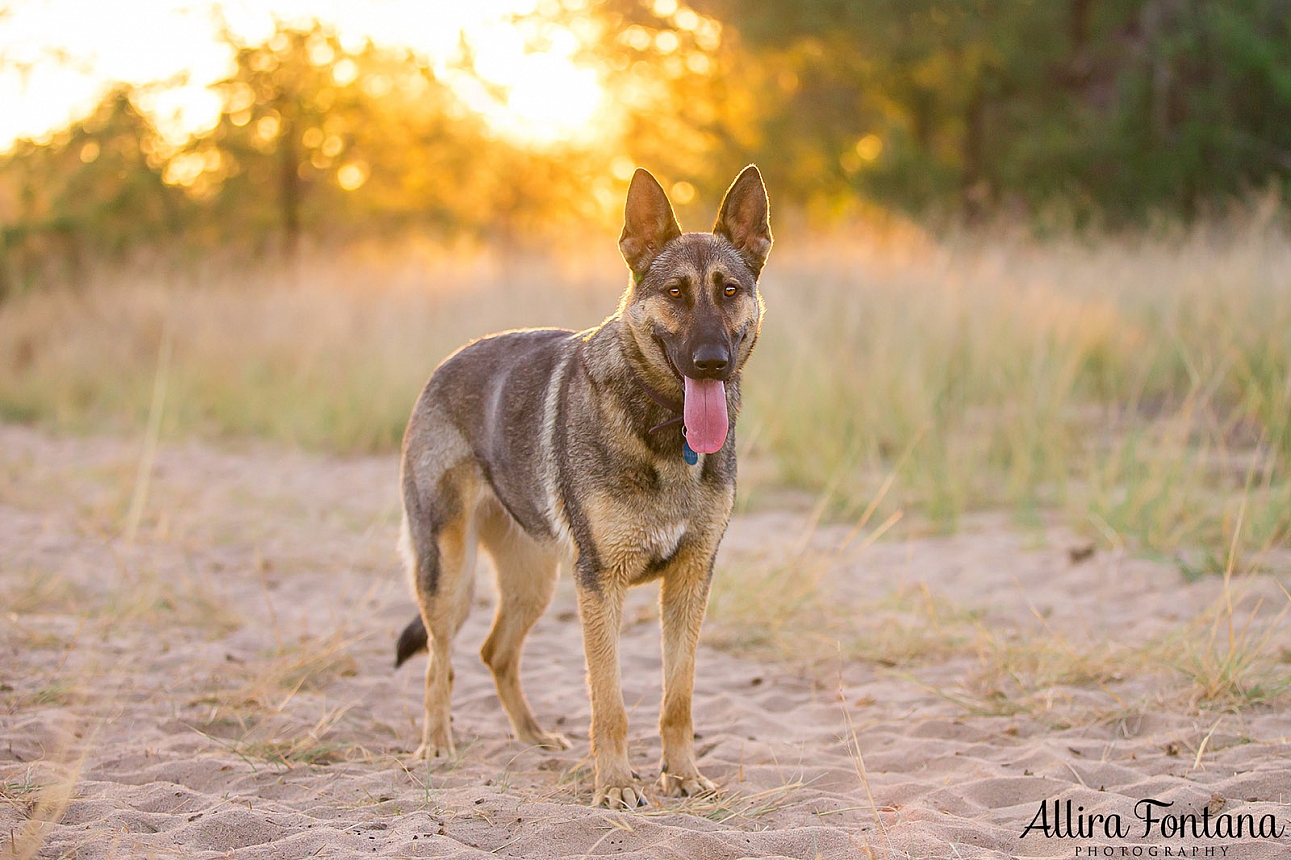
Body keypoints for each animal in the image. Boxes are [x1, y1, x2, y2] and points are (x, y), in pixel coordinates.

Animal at [392, 163, 769, 805]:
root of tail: (444, 364)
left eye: (729, 291)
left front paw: (682, 775)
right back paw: (436, 744)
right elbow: (608, 701)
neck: (663, 424)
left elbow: (678, 698)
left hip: (533, 580)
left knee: (495, 652)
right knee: (440, 659)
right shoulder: (600, 583)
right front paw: (615, 784)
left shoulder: (691, 580)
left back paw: (533, 736)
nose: (711, 362)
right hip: (448, 576)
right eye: (675, 293)